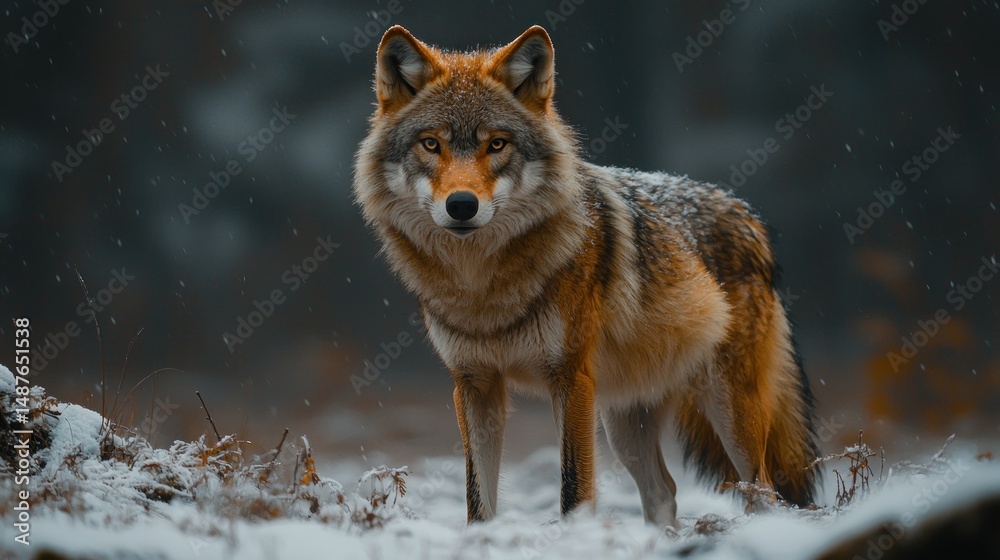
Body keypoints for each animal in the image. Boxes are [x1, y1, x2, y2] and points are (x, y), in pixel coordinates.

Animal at [353, 25, 819, 526]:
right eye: (431, 144)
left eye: (496, 144)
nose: (461, 205)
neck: (482, 286)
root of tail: (747, 213)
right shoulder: (474, 385)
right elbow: (478, 500)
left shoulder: (571, 378)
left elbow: (573, 489)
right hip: (624, 422)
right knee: (664, 491)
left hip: (728, 412)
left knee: (763, 491)